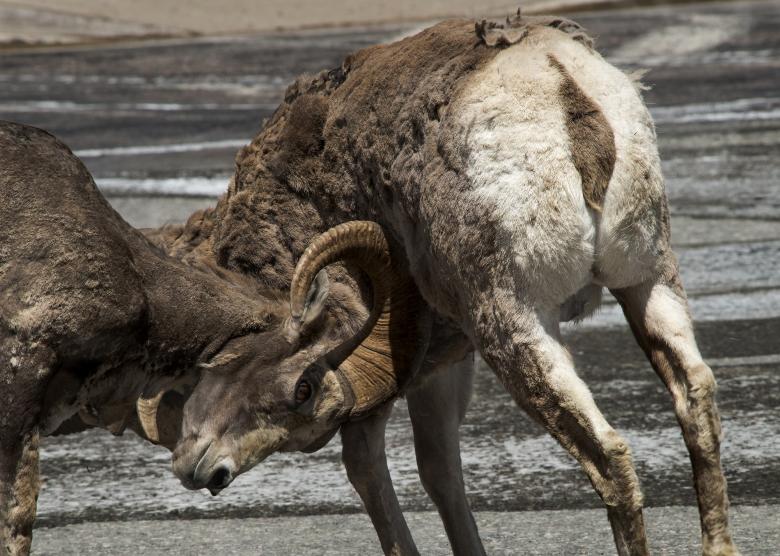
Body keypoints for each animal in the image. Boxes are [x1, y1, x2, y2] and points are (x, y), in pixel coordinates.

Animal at [163, 13, 739, 556]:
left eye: (299, 389)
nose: (198, 468)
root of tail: (564, 90)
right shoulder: (444, 365)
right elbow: (441, 471)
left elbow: (367, 468)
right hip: (649, 282)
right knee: (696, 401)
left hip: (516, 324)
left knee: (608, 456)